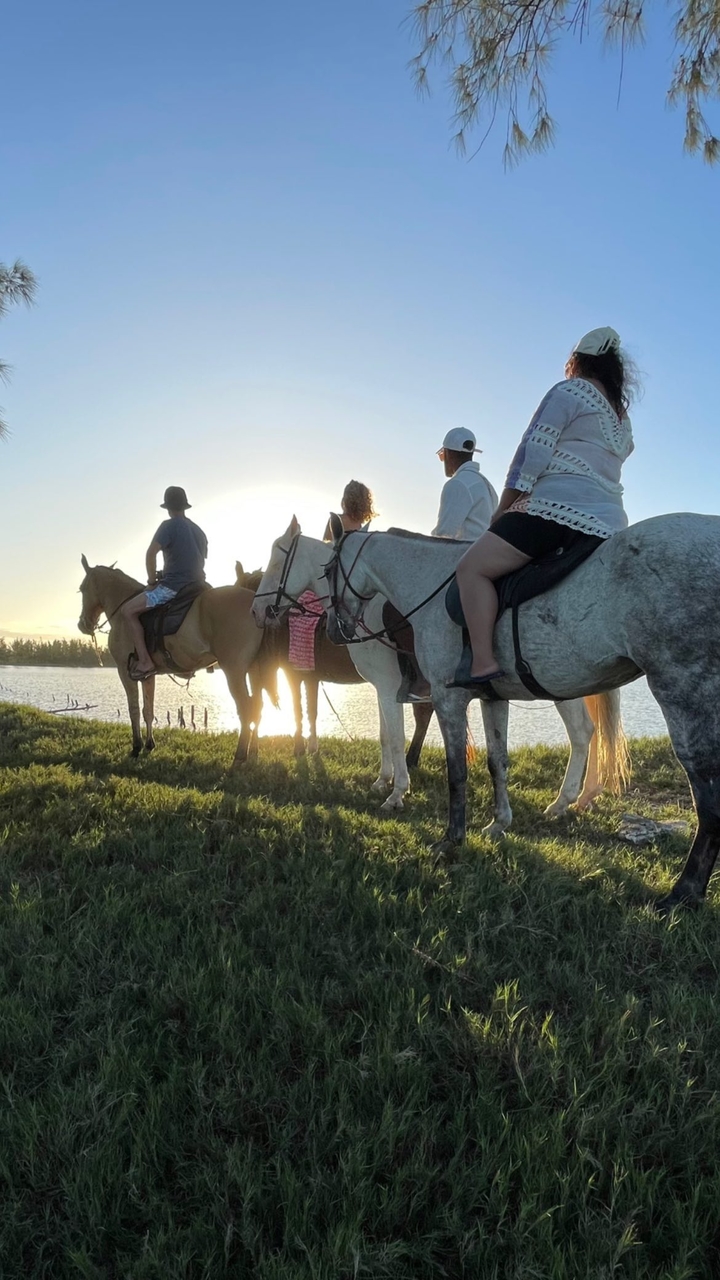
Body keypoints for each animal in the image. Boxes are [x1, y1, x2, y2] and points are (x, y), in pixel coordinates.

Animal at [77, 555, 266, 762]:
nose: (83, 624)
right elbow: (148, 710)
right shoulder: (148, 675)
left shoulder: (124, 672)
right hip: (254, 670)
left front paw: (136, 747)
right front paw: (149, 744)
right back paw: (253, 754)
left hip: (234, 672)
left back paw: (239, 758)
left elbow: (134, 709)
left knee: (246, 709)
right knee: (257, 706)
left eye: (82, 588)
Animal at [252, 517, 622, 819]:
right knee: (595, 733)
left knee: (582, 733)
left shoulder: (389, 688)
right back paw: (586, 795)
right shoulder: (381, 689)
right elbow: (385, 735)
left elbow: (396, 737)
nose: (257, 611)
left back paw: (563, 801)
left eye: (276, 560)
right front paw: (382, 780)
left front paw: (397, 792)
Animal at [322, 514, 720, 916]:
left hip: (682, 690)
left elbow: (456, 773)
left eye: (327, 570)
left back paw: (684, 891)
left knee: (703, 789)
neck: (430, 581)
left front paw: (450, 839)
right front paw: (499, 824)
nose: (332, 629)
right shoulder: (492, 698)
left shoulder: (447, 698)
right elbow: (497, 761)